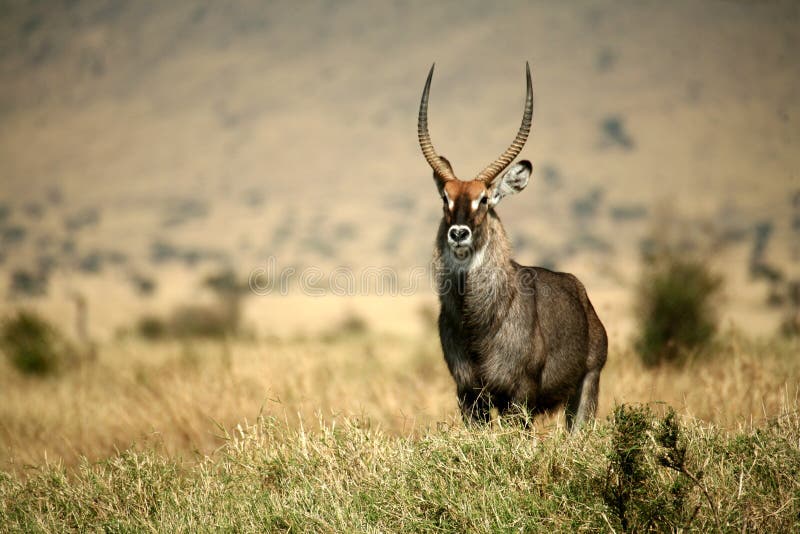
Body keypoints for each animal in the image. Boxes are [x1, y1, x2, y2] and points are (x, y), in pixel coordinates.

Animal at [418, 62, 608, 432]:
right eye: (445, 197)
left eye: (484, 199)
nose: (458, 233)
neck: (478, 325)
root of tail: (579, 291)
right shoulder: (467, 394)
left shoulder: (520, 394)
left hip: (586, 389)